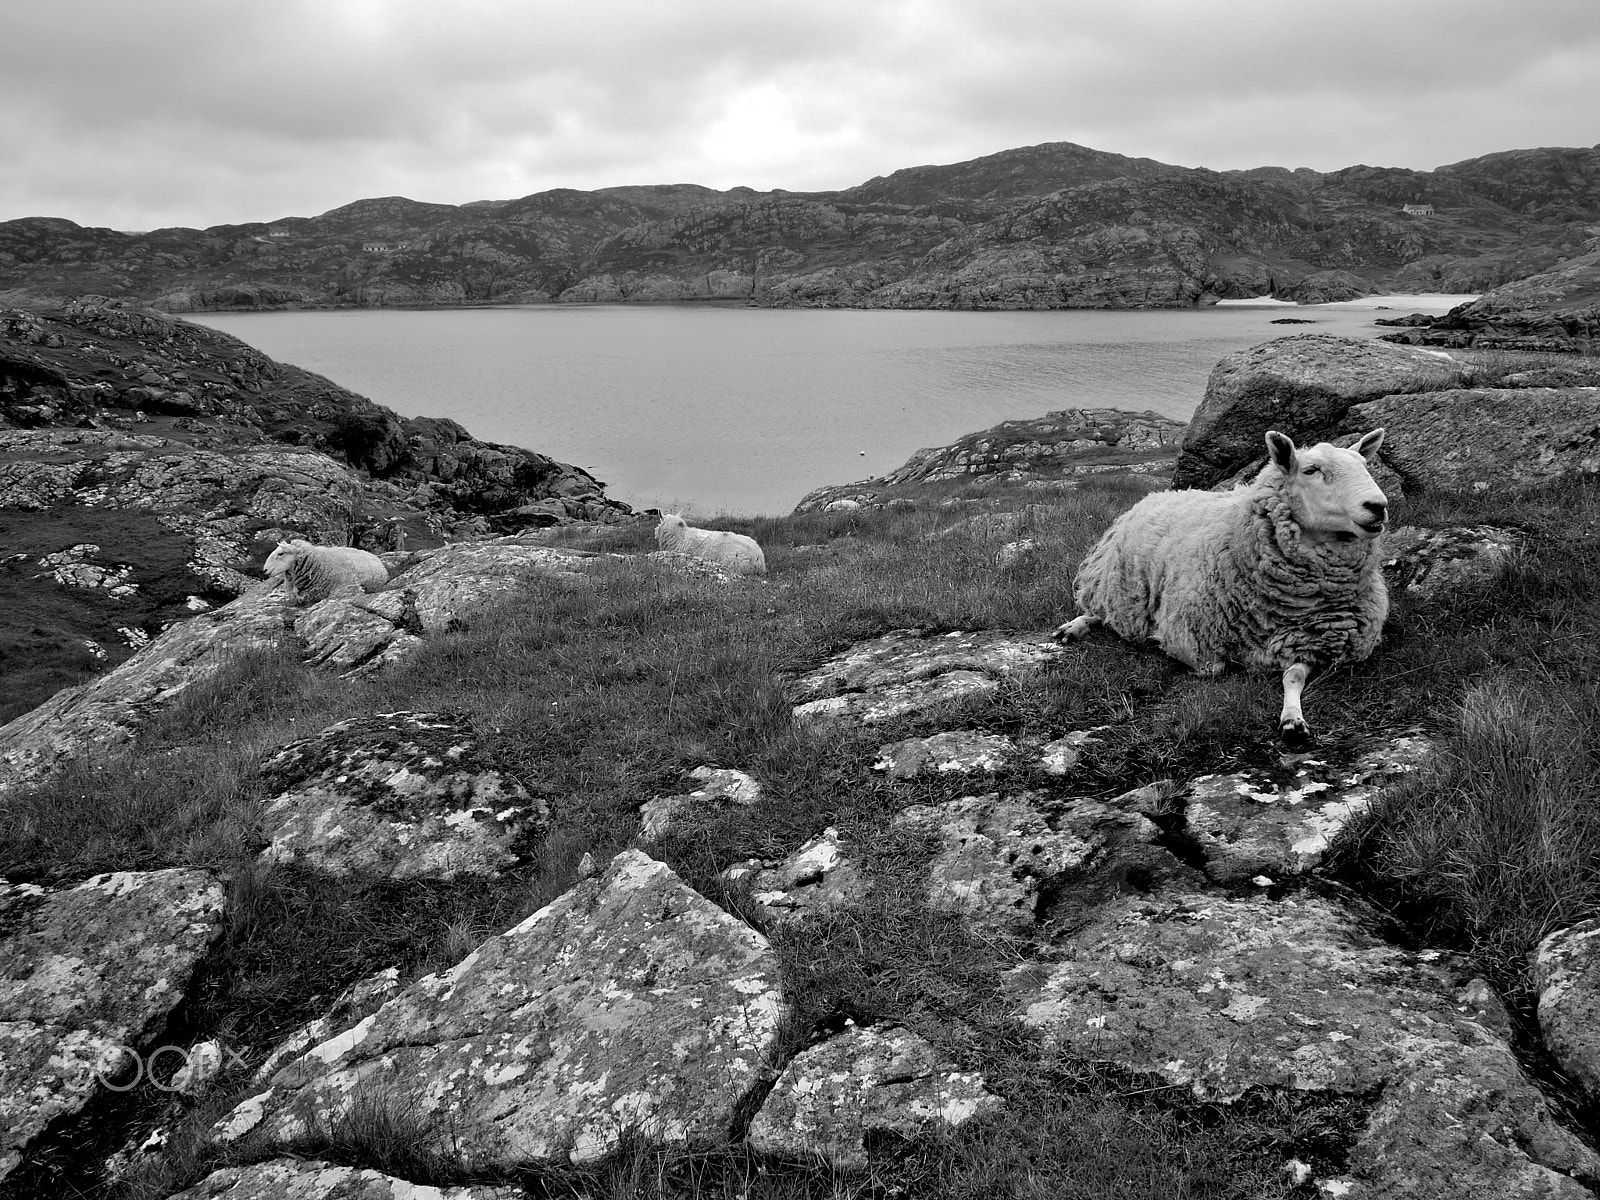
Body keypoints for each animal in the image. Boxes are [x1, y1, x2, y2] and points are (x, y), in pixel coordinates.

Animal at [1049, 428, 1388, 752]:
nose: (1378, 506)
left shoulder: (1310, 641)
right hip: (1114, 584)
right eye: (1311, 470)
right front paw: (1166, 647)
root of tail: (1161, 493)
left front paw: (1293, 720)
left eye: (1364, 465)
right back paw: (1072, 628)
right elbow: (1213, 667)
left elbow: (1292, 676)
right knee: (1098, 612)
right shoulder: (1191, 633)